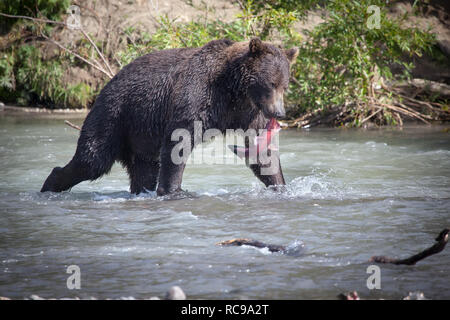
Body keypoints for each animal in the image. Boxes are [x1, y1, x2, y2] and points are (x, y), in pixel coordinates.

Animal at [41, 38, 298, 196]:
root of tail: (107, 82)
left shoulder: (248, 113)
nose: (279, 112)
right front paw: (173, 190)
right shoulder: (198, 95)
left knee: (143, 170)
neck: (233, 90)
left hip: (140, 136)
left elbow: (261, 151)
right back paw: (50, 184)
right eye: (271, 83)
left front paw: (280, 185)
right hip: (114, 115)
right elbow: (179, 141)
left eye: (284, 85)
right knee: (92, 159)